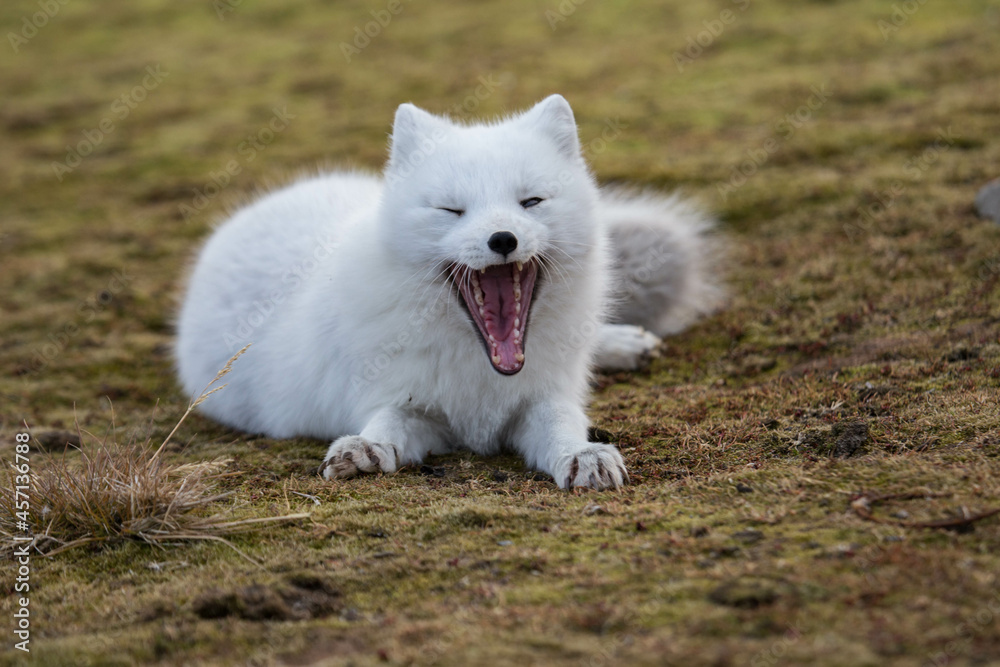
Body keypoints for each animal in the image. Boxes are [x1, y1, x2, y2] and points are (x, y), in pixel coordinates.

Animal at [172, 95, 720, 490]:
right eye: (451, 210)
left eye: (531, 201)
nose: (503, 239)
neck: (481, 371)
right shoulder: (407, 405)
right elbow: (386, 425)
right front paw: (363, 450)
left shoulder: (542, 396)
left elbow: (565, 423)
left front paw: (582, 454)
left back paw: (624, 343)